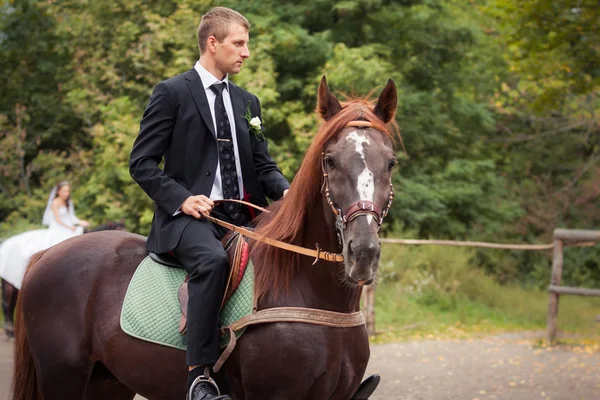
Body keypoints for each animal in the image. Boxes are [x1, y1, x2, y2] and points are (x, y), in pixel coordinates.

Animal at [11, 76, 400, 400]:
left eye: (391, 162)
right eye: (330, 160)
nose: (363, 253)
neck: (312, 295)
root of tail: (46, 256)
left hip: (107, 383)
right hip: (63, 378)